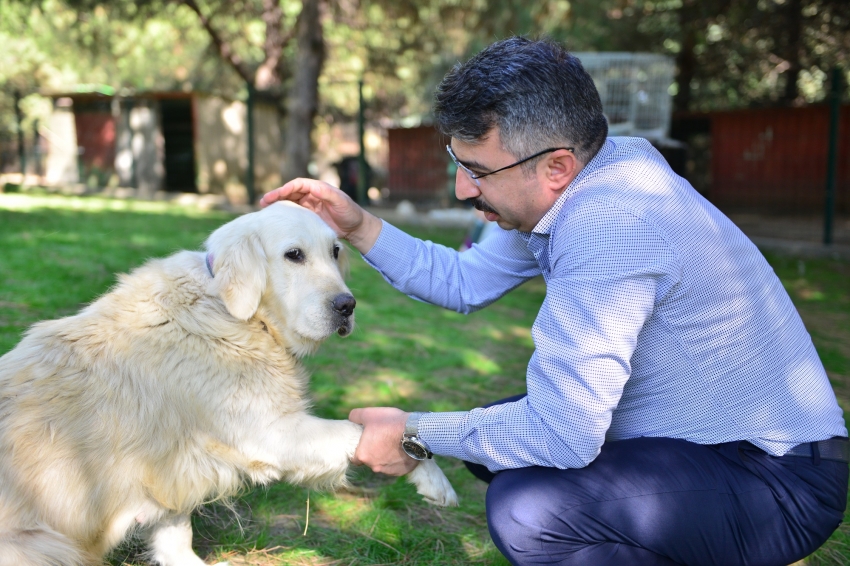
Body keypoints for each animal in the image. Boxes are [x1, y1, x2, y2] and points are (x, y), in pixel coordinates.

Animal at [0, 202, 458, 564]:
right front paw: (434, 479)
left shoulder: (173, 463)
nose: (347, 306)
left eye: (335, 251)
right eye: (294, 255)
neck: (236, 313)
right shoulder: (272, 433)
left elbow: (174, 536)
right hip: (44, 545)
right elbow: (357, 430)